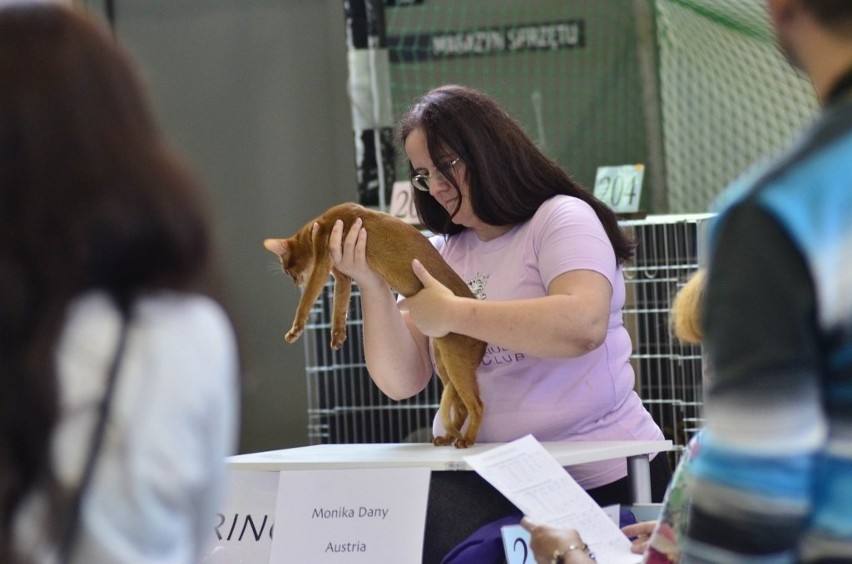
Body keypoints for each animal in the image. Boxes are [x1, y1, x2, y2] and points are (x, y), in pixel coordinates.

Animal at [262, 203, 482, 450]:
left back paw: (467, 440)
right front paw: (337, 335)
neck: (317, 223)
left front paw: (295, 329)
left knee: (477, 405)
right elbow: (340, 305)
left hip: (455, 360)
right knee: (461, 407)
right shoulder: (342, 275)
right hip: (443, 359)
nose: (294, 281)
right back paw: (448, 438)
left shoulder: (322, 260)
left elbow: (307, 299)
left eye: (287, 270)